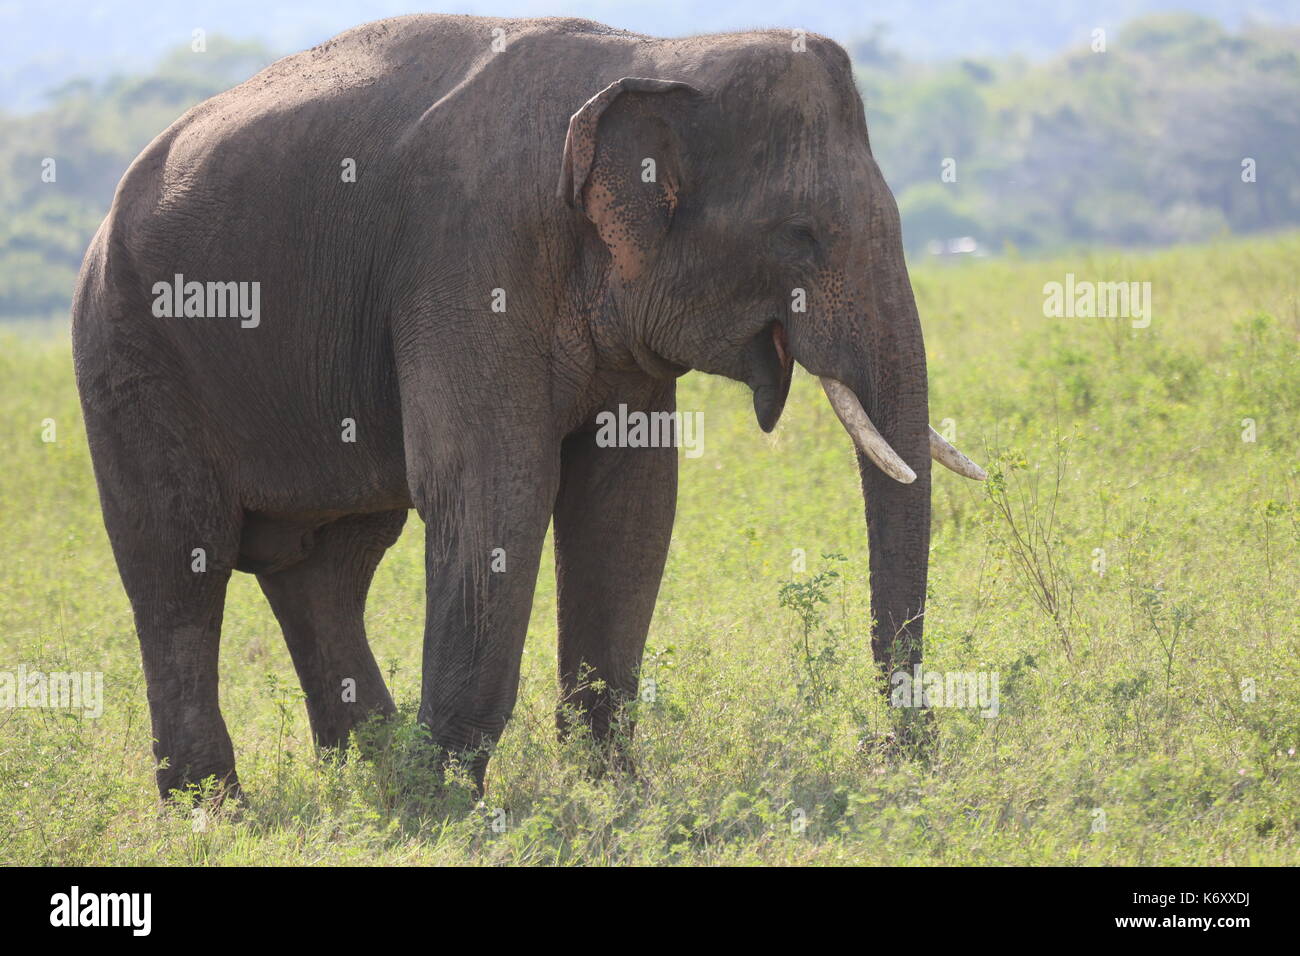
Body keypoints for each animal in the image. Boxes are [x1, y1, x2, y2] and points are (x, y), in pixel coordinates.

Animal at [71, 13, 982, 801]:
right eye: (802, 234)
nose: (894, 753)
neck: (655, 54)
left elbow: (630, 499)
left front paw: (611, 792)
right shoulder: (469, 260)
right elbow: (493, 485)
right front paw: (450, 814)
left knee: (328, 564)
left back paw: (372, 779)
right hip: (128, 357)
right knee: (178, 562)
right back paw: (221, 811)